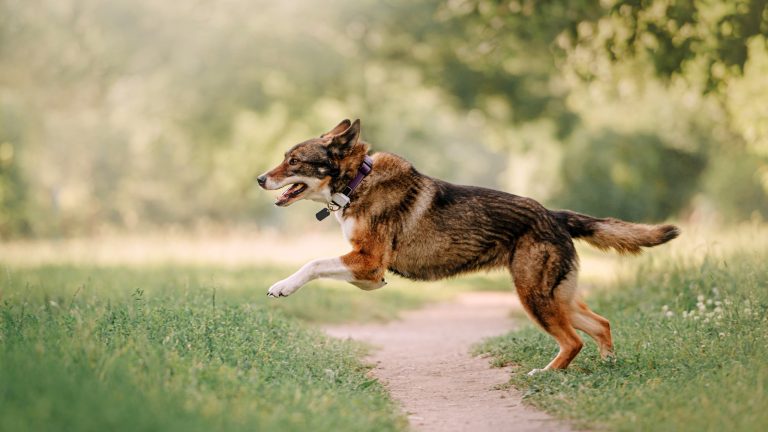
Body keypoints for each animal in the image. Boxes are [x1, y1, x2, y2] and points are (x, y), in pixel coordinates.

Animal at [256, 118, 680, 372]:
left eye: (293, 161)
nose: (260, 179)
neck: (356, 182)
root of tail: (555, 215)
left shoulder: (369, 260)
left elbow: (313, 263)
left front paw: (282, 286)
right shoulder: (367, 270)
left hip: (534, 296)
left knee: (574, 341)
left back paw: (546, 374)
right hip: (557, 297)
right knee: (601, 324)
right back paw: (607, 366)